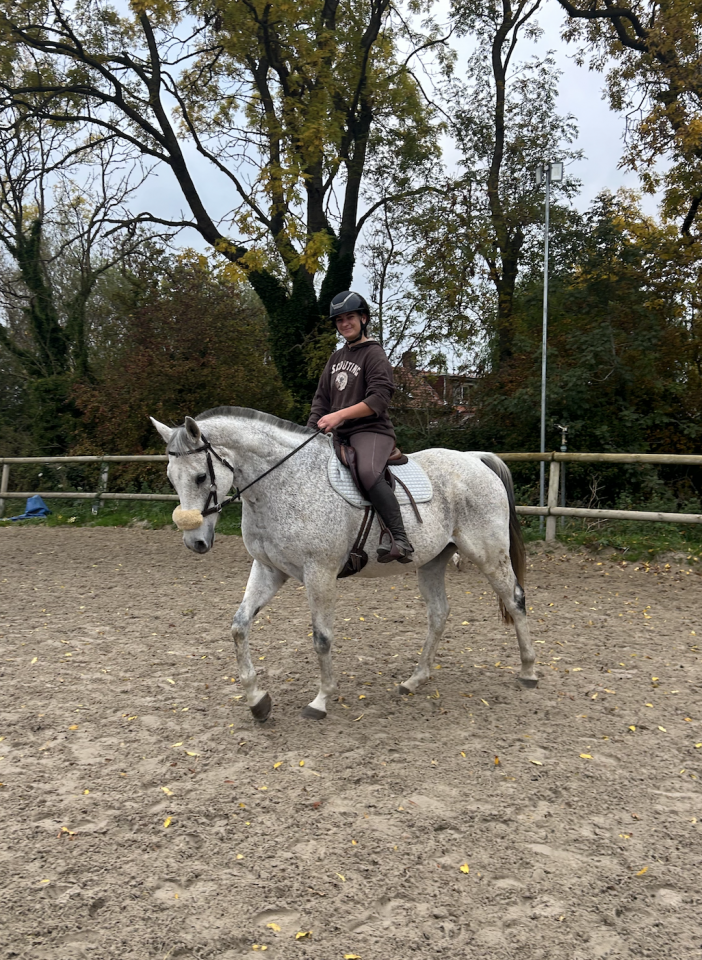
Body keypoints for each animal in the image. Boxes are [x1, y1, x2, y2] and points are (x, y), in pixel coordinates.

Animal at [151, 407, 536, 721]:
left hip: (489, 554)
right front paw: (257, 700)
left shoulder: (319, 573)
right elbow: (238, 627)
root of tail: (475, 459)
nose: (195, 542)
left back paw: (529, 671)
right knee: (439, 613)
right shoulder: (268, 569)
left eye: (201, 477)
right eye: (171, 478)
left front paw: (321, 700)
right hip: (431, 562)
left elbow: (322, 637)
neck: (283, 483)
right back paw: (414, 680)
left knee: (515, 600)